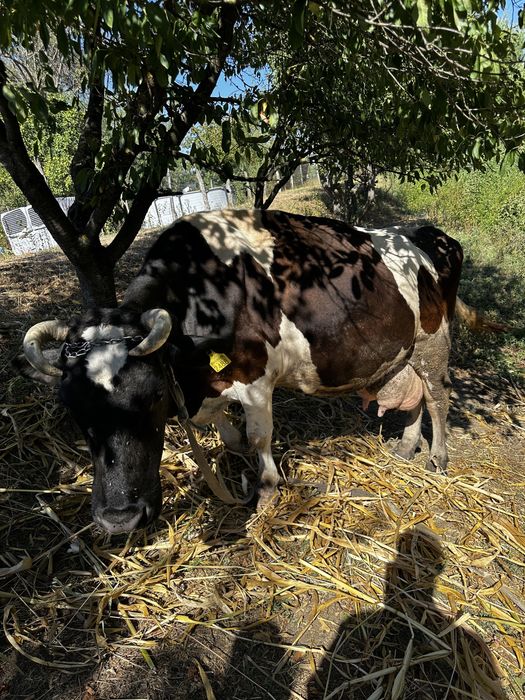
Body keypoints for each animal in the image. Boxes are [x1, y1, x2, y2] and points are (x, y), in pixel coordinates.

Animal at [20, 209, 463, 534]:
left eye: (154, 395)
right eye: (73, 409)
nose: (119, 519)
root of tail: (428, 233)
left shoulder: (255, 378)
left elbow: (258, 437)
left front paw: (265, 495)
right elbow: (227, 434)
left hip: (433, 340)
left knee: (437, 398)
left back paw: (437, 457)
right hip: (403, 352)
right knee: (415, 398)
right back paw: (406, 446)